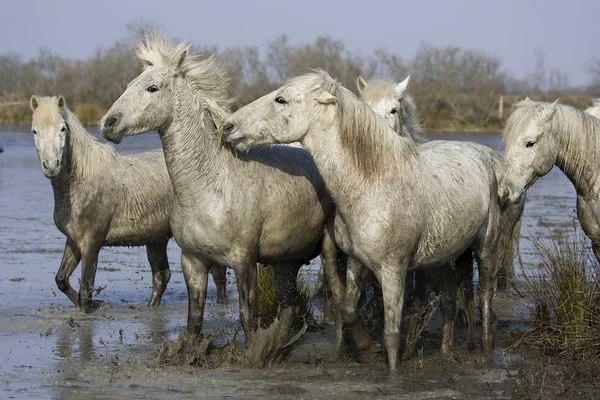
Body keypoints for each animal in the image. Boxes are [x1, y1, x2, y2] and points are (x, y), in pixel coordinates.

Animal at [29, 95, 229, 310]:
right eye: (34, 131)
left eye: (62, 129)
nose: (51, 166)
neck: (81, 181)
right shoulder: (74, 241)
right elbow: (61, 280)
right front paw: (96, 303)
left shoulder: (91, 244)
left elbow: (85, 291)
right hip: (156, 240)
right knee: (162, 276)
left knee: (218, 276)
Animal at [101, 35, 340, 346]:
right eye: (130, 84)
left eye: (152, 88)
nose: (108, 124)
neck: (209, 187)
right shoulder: (193, 262)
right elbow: (194, 321)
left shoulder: (244, 262)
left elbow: (247, 317)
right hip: (286, 261)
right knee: (292, 305)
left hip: (329, 251)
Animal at [223, 70, 508, 370]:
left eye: (281, 99)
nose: (228, 127)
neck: (374, 183)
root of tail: (484, 157)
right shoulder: (356, 262)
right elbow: (348, 310)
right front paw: (367, 350)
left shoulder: (394, 270)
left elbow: (392, 333)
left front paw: (392, 370)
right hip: (441, 256)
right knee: (450, 298)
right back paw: (446, 351)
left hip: (486, 250)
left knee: (485, 295)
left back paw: (486, 349)